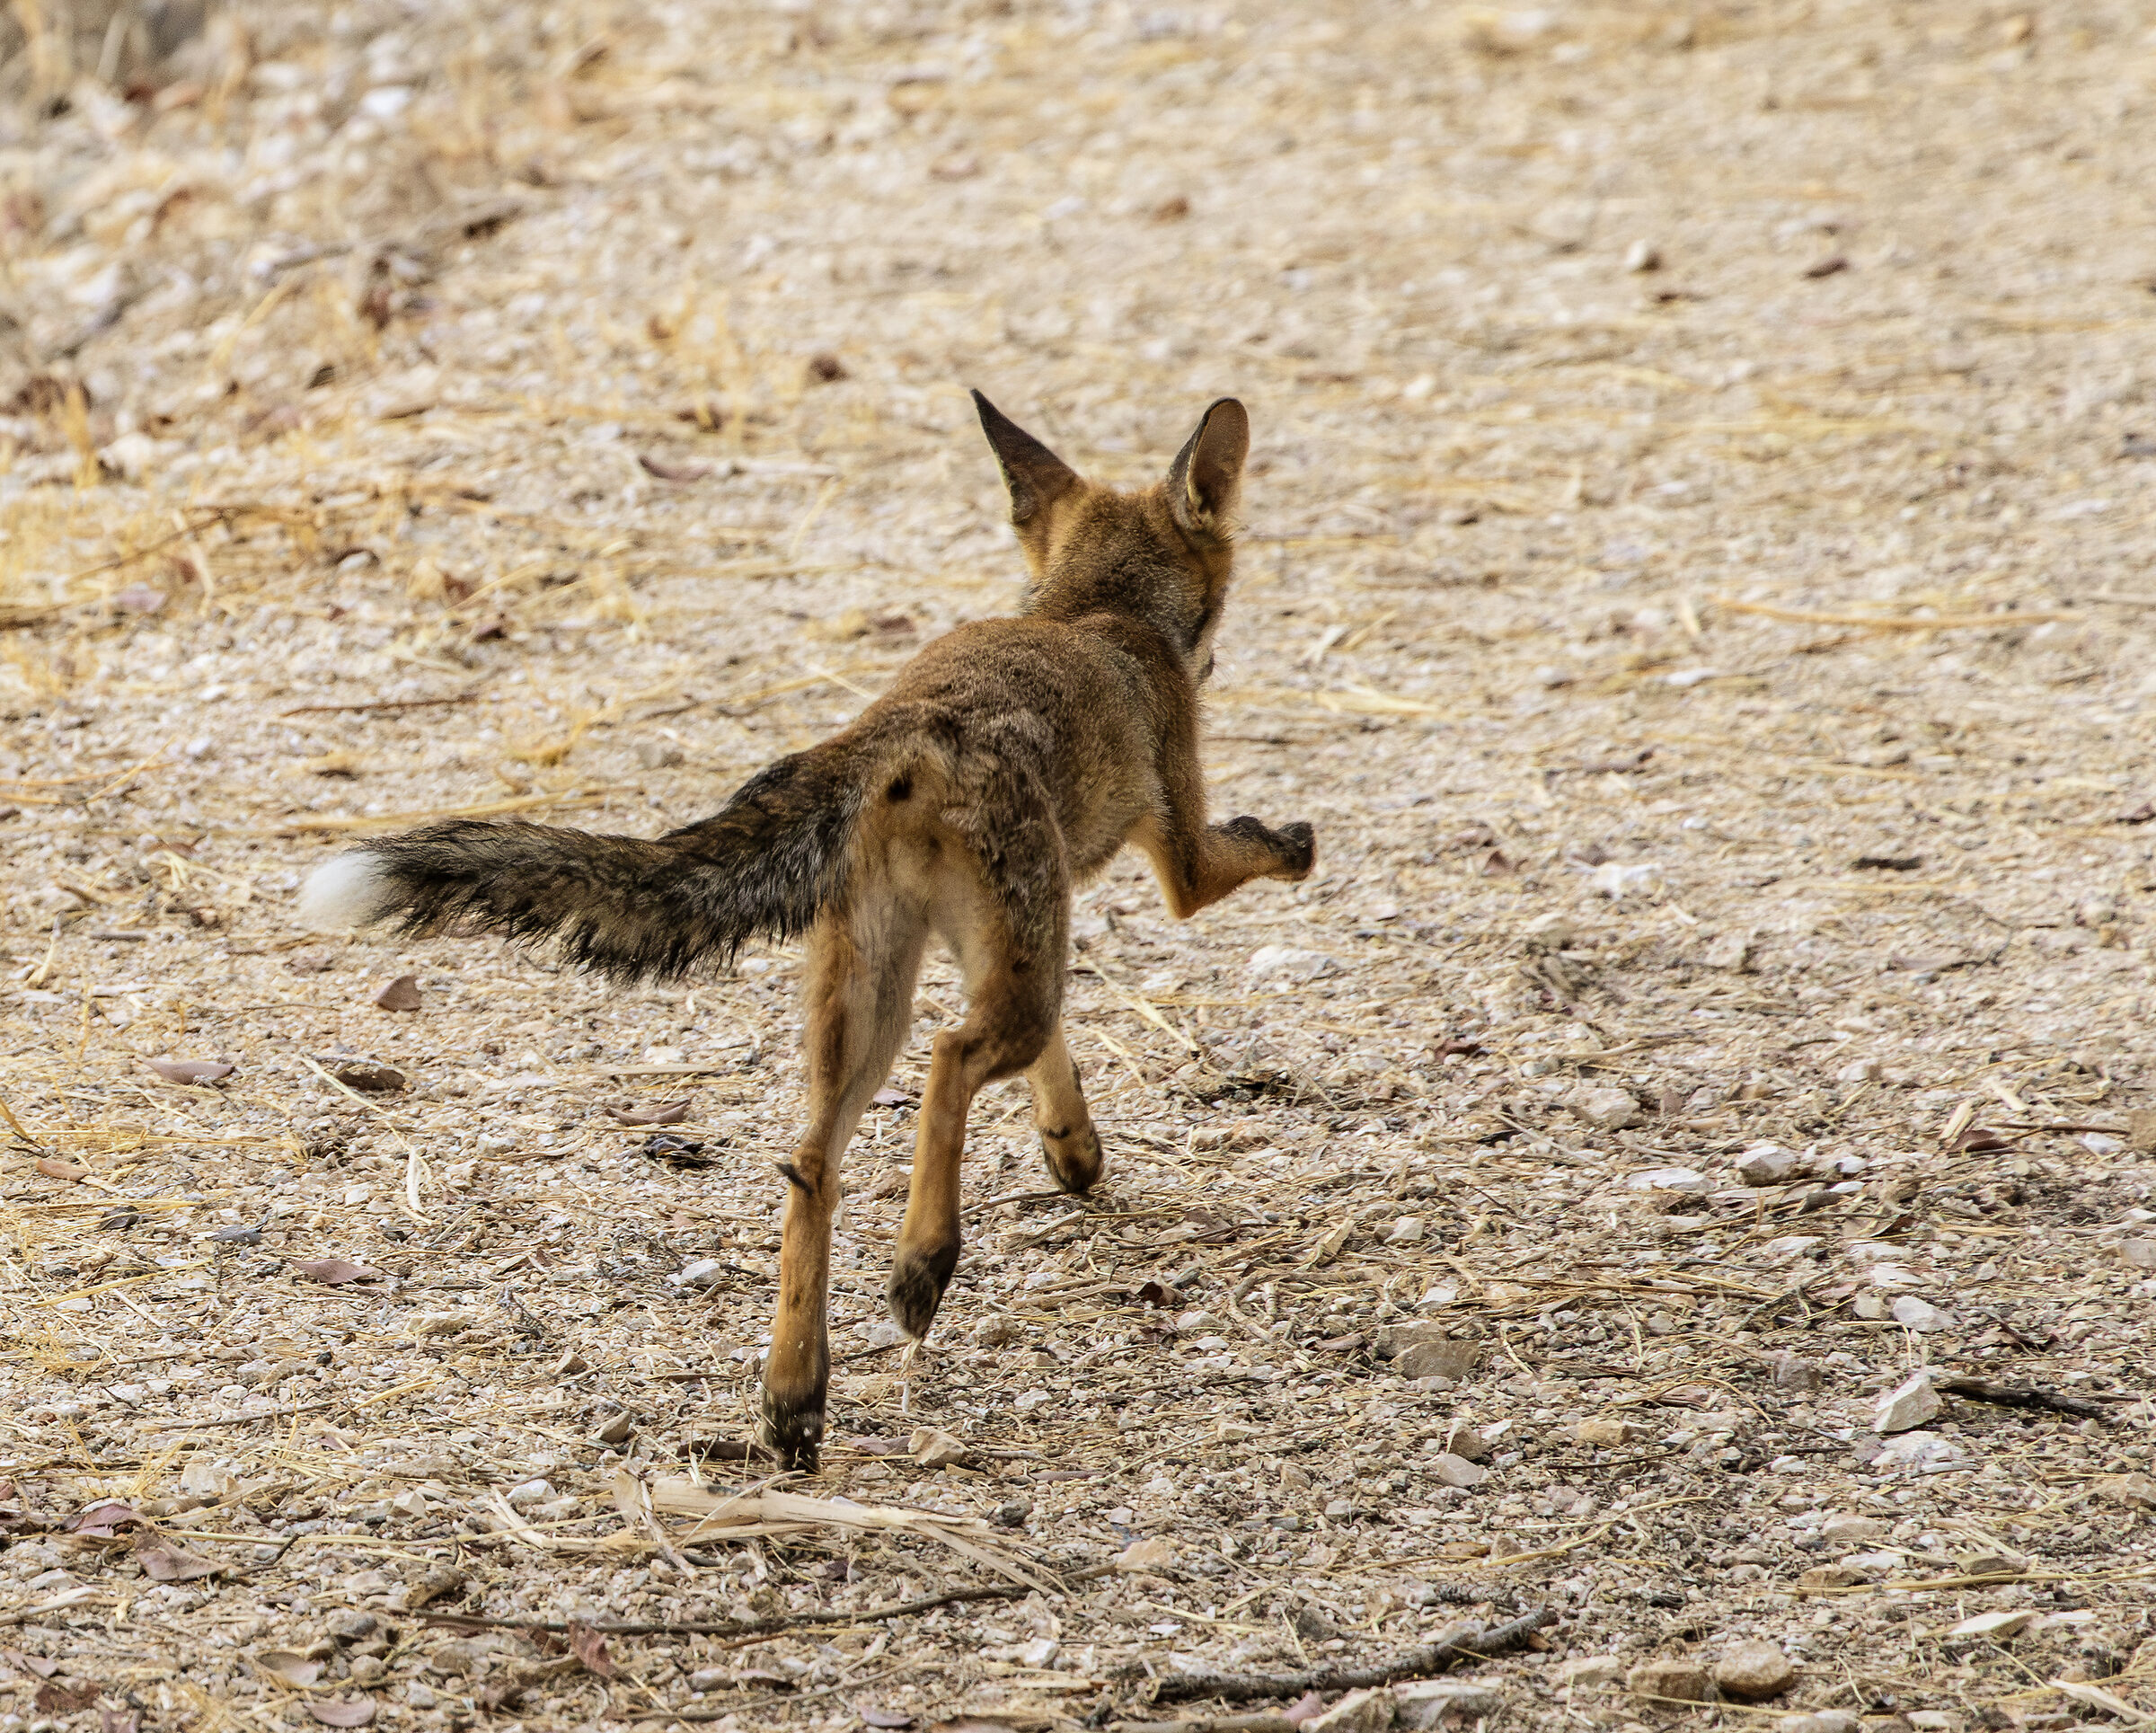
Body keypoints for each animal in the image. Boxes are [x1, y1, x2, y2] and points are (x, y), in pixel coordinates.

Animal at [299, 391, 1315, 1469]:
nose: (1216, 657)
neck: (1095, 613)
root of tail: (898, 726)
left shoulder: (1015, 937)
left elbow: (1058, 1073)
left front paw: (1073, 1148)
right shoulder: (1175, 857)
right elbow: (1236, 859)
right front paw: (1295, 844)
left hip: (876, 995)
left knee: (812, 1160)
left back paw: (795, 1395)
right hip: (970, 987)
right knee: (950, 1059)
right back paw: (921, 1267)